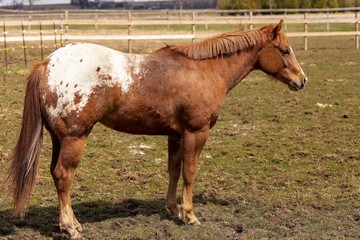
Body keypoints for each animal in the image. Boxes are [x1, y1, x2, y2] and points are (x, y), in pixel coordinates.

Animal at [7, 20, 306, 238]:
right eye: (285, 50)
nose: (302, 80)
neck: (205, 71)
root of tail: (48, 64)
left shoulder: (175, 135)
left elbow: (174, 170)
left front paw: (173, 209)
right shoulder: (196, 133)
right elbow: (189, 172)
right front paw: (190, 215)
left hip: (59, 139)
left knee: (55, 174)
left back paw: (73, 223)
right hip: (74, 138)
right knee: (63, 176)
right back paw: (70, 228)